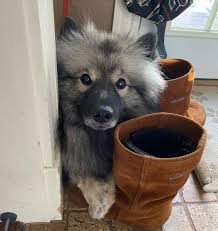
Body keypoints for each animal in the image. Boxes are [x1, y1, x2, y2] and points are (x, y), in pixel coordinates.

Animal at [56, 17, 165, 219]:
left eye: (121, 83)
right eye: (85, 79)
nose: (102, 114)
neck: (98, 137)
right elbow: (80, 170)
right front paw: (99, 200)